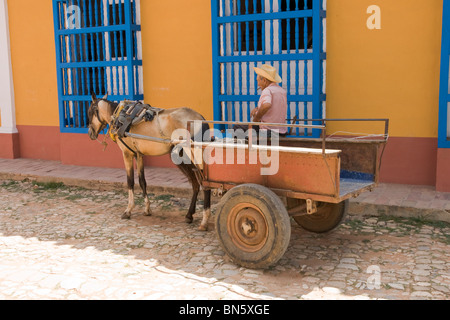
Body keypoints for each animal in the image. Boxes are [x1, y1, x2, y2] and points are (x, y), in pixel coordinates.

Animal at [88, 94, 214, 231]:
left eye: (90, 112)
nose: (90, 133)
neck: (119, 115)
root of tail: (200, 118)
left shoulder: (127, 154)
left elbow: (130, 181)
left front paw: (128, 210)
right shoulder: (139, 155)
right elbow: (142, 181)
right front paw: (147, 209)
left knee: (204, 184)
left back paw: (204, 221)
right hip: (182, 157)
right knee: (195, 184)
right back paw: (189, 215)